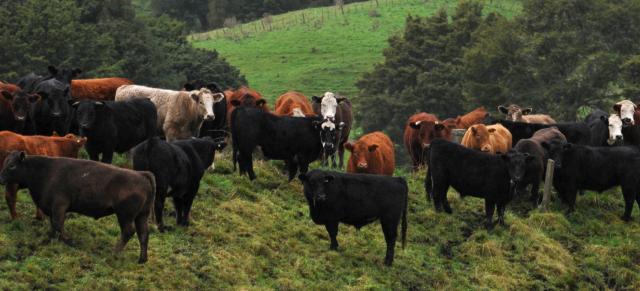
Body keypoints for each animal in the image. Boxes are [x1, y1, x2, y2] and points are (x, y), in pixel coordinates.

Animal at [0, 153, 155, 264]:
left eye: (12, 165)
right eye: (5, 162)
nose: (1, 178)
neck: (45, 170)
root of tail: (142, 174)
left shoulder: (59, 206)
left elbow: (58, 224)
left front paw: (69, 241)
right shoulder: (53, 208)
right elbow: (53, 225)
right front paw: (50, 239)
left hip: (125, 216)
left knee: (128, 231)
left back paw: (113, 253)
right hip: (142, 215)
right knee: (143, 234)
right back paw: (142, 260)